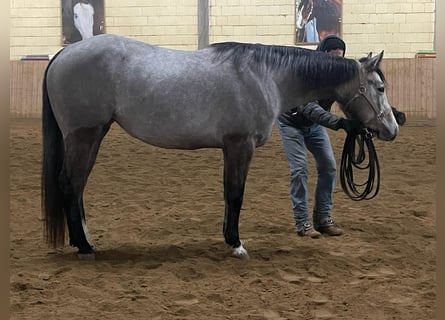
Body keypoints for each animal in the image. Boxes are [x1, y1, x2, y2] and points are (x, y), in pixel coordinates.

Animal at [40, 34, 396, 258]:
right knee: (70, 184)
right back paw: (84, 246)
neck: (265, 76)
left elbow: (229, 194)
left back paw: (85, 239)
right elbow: (236, 194)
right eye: (379, 87)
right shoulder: (240, 145)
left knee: (77, 186)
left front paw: (229, 239)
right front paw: (236, 244)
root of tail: (63, 54)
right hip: (84, 134)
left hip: (95, 134)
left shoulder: (231, 148)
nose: (392, 128)